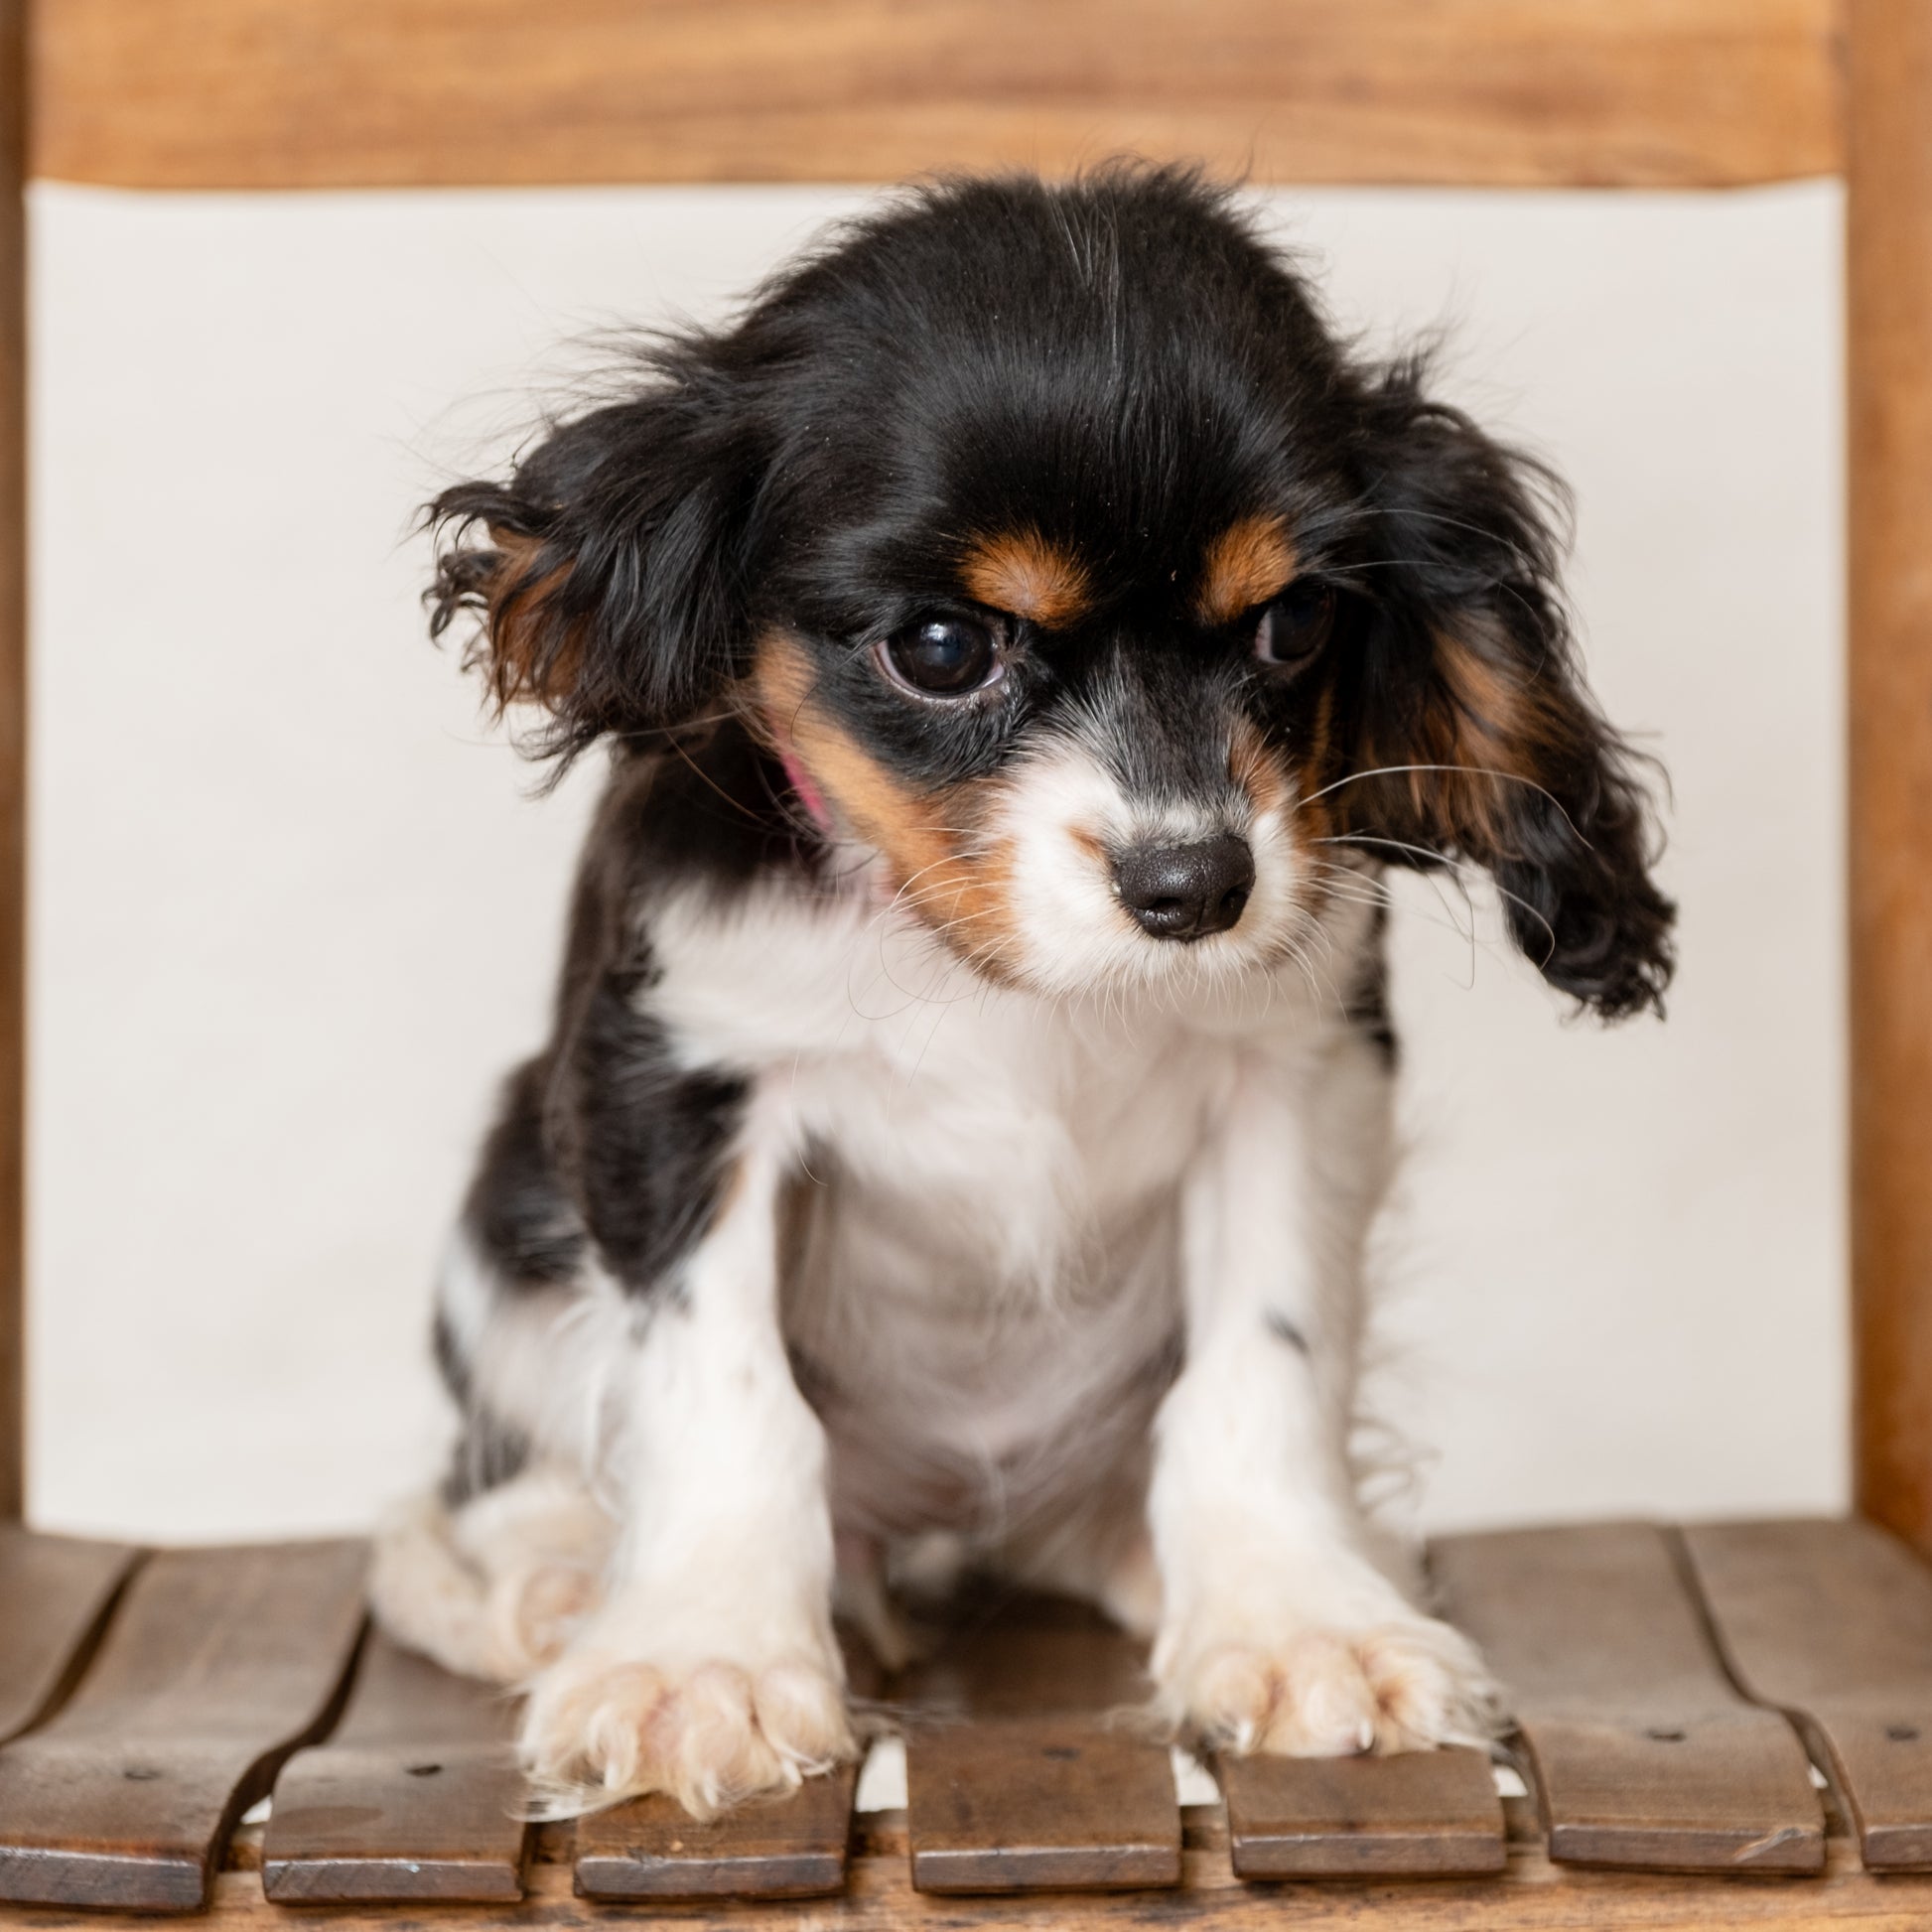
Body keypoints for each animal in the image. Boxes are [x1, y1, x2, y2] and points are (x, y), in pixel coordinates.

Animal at [368, 162, 1669, 1808]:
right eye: (940, 648)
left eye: (1291, 623)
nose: (1196, 883)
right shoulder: (675, 1077)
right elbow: (720, 1392)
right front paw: (699, 1657)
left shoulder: (1299, 1073)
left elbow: (1264, 1362)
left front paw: (1296, 1615)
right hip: (508, 1211)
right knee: (502, 1470)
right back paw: (549, 1579)